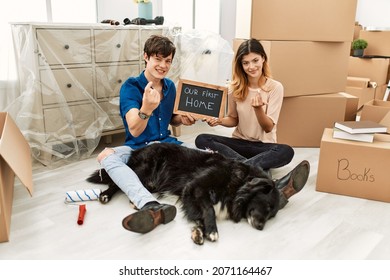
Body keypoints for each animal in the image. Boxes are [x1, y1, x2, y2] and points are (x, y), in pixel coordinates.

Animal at [87, 143, 278, 244]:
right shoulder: (195, 187)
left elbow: (199, 214)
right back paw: (105, 195)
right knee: (116, 182)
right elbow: (209, 209)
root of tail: (138, 149)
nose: (261, 228)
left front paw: (199, 232)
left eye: (272, 215)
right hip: (143, 169)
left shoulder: (192, 195)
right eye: (267, 206)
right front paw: (211, 230)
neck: (238, 182)